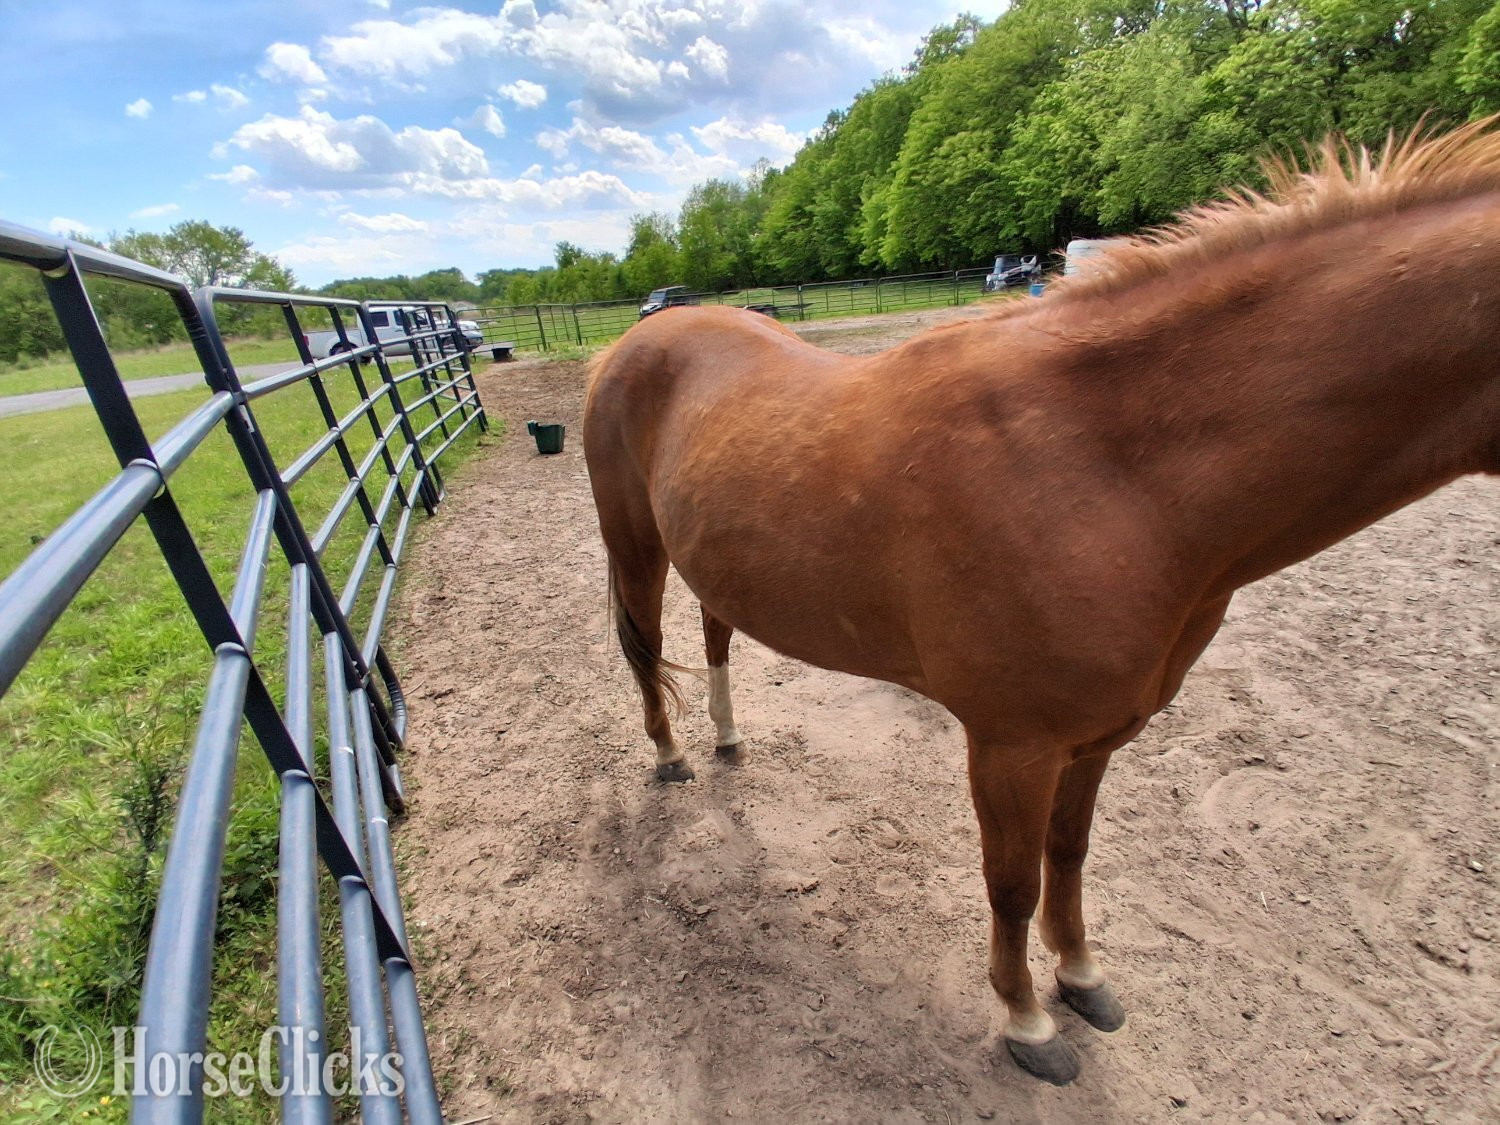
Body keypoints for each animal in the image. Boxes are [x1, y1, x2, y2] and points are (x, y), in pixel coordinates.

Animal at [580, 120, 1500, 1085]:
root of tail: (633, 341)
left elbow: (1069, 853)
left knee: (716, 633)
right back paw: (673, 753)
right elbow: (1013, 880)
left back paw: (727, 736)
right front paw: (1027, 1019)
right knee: (645, 649)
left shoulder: (1095, 736)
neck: (1105, 461)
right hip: (637, 550)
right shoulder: (1011, 745)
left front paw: (1083, 976)